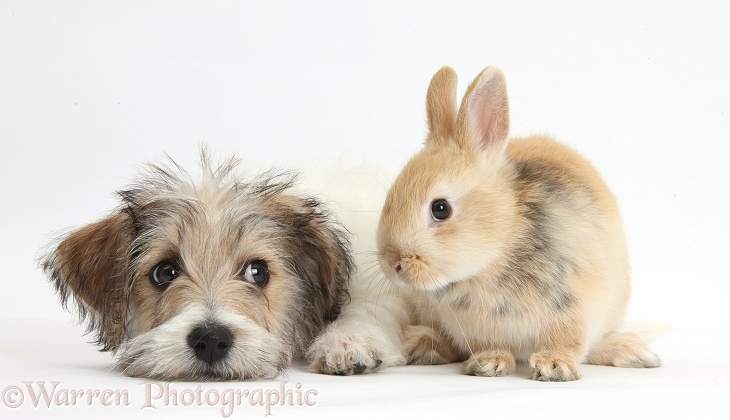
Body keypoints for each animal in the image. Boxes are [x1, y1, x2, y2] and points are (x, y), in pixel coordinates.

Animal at [376, 65, 660, 380]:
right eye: (390, 196)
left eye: (440, 209)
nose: (393, 264)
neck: (497, 249)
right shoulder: (480, 330)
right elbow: (489, 345)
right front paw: (488, 363)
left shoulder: (573, 310)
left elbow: (567, 342)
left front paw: (554, 366)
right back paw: (423, 343)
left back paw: (634, 352)